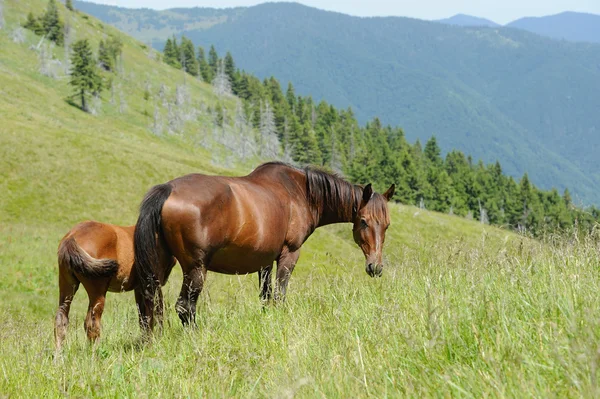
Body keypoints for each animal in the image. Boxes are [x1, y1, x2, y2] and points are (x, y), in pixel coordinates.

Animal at [53, 222, 176, 350]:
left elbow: (143, 318)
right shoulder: (153, 283)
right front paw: (154, 342)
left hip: (66, 286)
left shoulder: (139, 288)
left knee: (61, 320)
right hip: (98, 291)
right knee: (92, 324)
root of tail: (72, 237)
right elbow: (155, 313)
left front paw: (145, 342)